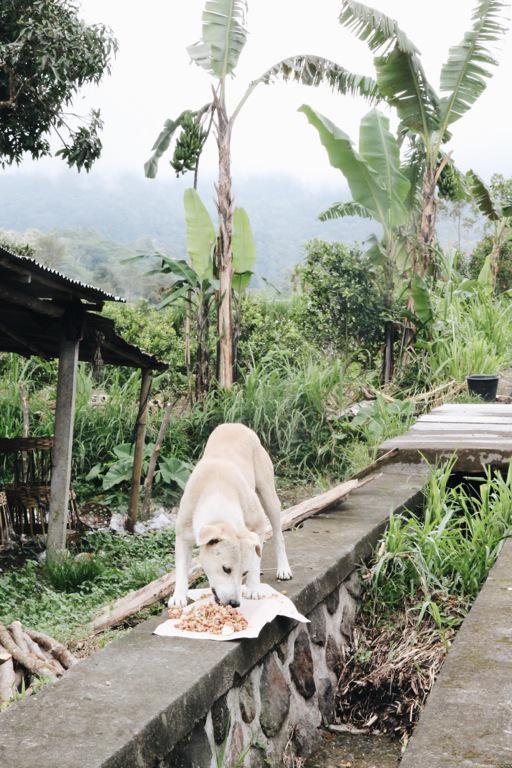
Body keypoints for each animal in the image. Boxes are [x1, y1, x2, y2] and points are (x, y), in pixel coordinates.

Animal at [169, 420, 292, 608]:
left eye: (244, 572)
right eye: (226, 569)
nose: (234, 603)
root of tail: (236, 424)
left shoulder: (257, 526)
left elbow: (255, 559)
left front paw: (253, 588)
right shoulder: (183, 535)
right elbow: (181, 569)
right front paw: (179, 596)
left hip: (269, 496)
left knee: (278, 535)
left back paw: (283, 568)